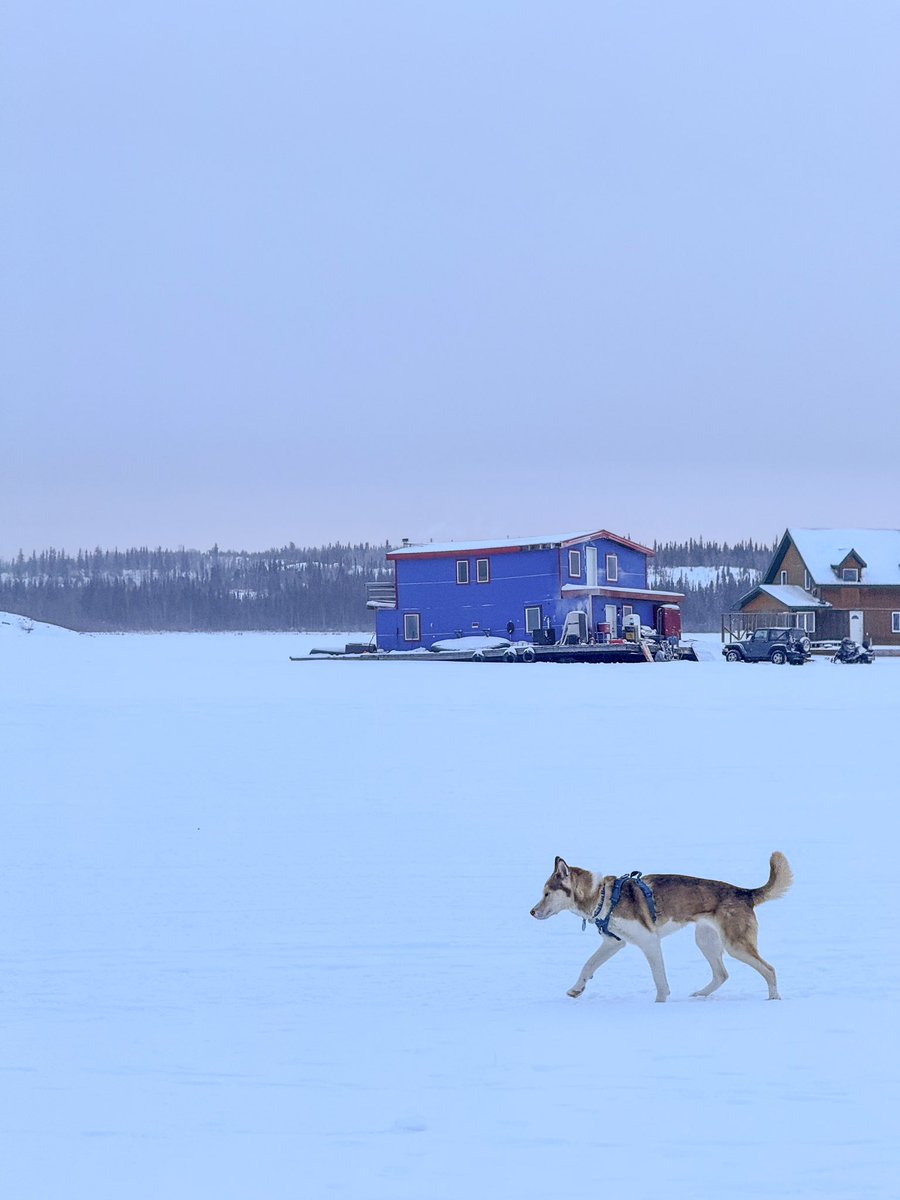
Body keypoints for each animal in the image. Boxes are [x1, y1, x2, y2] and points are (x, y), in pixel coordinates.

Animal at [532, 854, 792, 1003]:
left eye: (546, 893)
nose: (532, 912)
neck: (603, 896)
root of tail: (744, 892)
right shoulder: (614, 942)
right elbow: (588, 965)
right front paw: (576, 990)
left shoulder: (649, 941)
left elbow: (659, 978)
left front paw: (660, 1003)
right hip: (706, 941)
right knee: (722, 974)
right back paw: (700, 995)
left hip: (734, 944)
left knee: (769, 969)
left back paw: (773, 998)